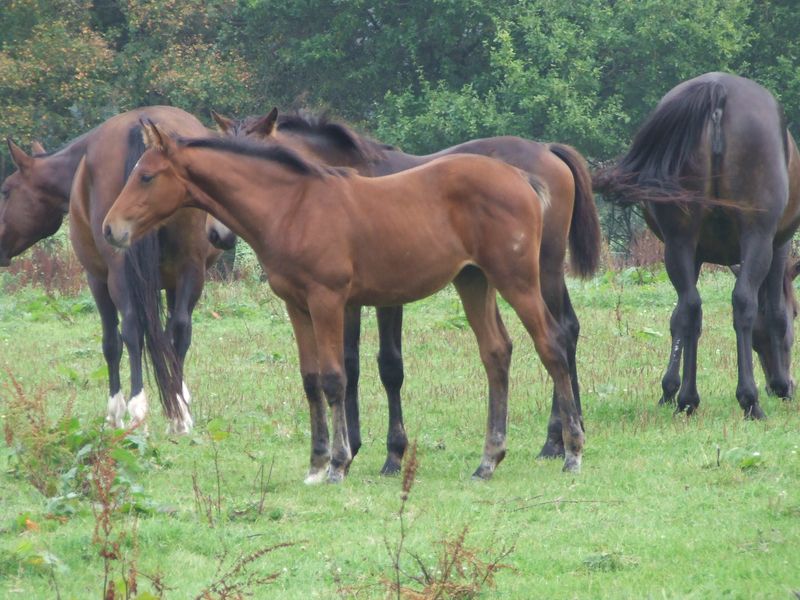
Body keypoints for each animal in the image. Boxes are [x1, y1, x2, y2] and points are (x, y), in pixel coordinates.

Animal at [0, 108, 219, 432]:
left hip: (117, 273)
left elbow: (112, 342)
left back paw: (137, 409)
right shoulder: (177, 280)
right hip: (190, 268)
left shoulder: (97, 279)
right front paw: (179, 398)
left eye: (5, 192)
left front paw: (115, 411)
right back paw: (178, 416)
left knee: (130, 329)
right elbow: (168, 336)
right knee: (180, 328)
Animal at [103, 122, 584, 482]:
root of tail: (523, 177)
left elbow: (336, 378)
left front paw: (337, 463)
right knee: (496, 352)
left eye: (146, 176)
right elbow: (310, 379)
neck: (292, 207)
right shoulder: (296, 306)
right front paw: (316, 463)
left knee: (553, 343)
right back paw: (489, 460)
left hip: (518, 278)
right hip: (474, 281)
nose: (110, 229)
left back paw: (570, 450)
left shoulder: (328, 300)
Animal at [592, 72, 800, 420]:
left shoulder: (694, 253)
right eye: (798, 313)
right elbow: (774, 313)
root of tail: (718, 88)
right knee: (743, 302)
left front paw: (670, 389)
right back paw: (749, 399)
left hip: (679, 242)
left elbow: (682, 319)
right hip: (756, 237)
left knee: (690, 306)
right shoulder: (778, 246)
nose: (776, 383)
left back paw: (688, 399)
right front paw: (782, 384)